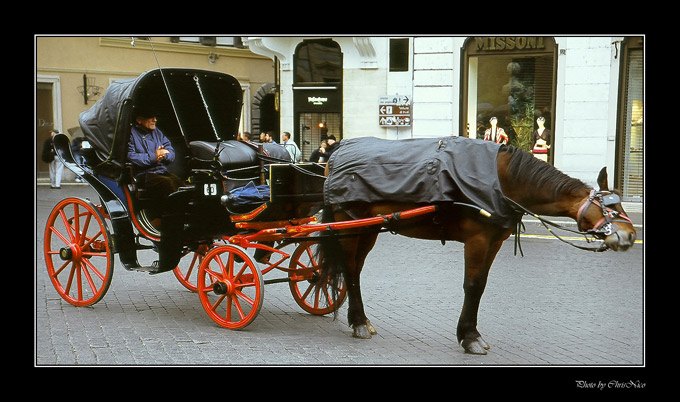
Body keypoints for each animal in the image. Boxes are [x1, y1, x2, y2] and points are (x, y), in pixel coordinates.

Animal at [318, 140, 636, 354]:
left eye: (620, 203)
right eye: (610, 206)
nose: (631, 235)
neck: (502, 182)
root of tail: (337, 151)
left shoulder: (494, 242)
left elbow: (481, 286)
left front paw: (470, 332)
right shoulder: (478, 240)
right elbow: (471, 286)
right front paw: (469, 337)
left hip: (368, 228)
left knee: (356, 270)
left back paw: (360, 319)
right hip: (349, 223)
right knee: (350, 271)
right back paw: (358, 322)